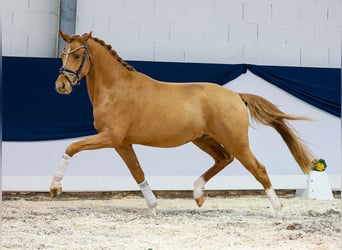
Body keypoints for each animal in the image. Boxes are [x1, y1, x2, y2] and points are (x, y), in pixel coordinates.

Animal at [49, 31, 314, 219]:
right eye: (63, 53)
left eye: (77, 55)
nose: (61, 85)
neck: (116, 88)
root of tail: (237, 96)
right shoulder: (122, 143)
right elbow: (138, 172)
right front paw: (154, 207)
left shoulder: (110, 137)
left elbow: (71, 147)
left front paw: (55, 187)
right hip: (203, 139)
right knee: (223, 158)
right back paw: (197, 194)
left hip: (236, 141)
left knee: (258, 169)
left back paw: (278, 212)